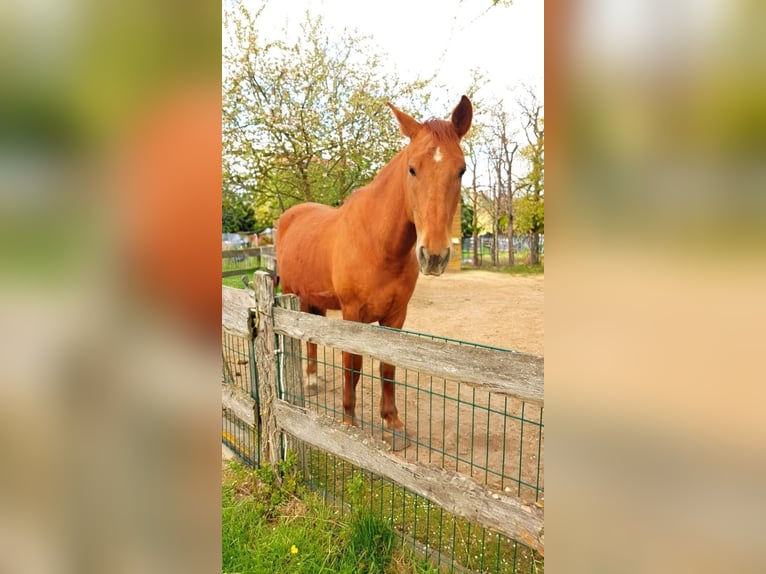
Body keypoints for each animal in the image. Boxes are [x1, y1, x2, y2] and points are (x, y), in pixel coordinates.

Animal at [276, 96, 472, 437]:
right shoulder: (352, 314)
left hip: (314, 301)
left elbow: (387, 366)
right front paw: (348, 420)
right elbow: (351, 366)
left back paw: (313, 379)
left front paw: (392, 423)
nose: (434, 255)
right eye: (412, 169)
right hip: (293, 297)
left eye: (461, 170)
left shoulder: (396, 315)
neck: (379, 246)